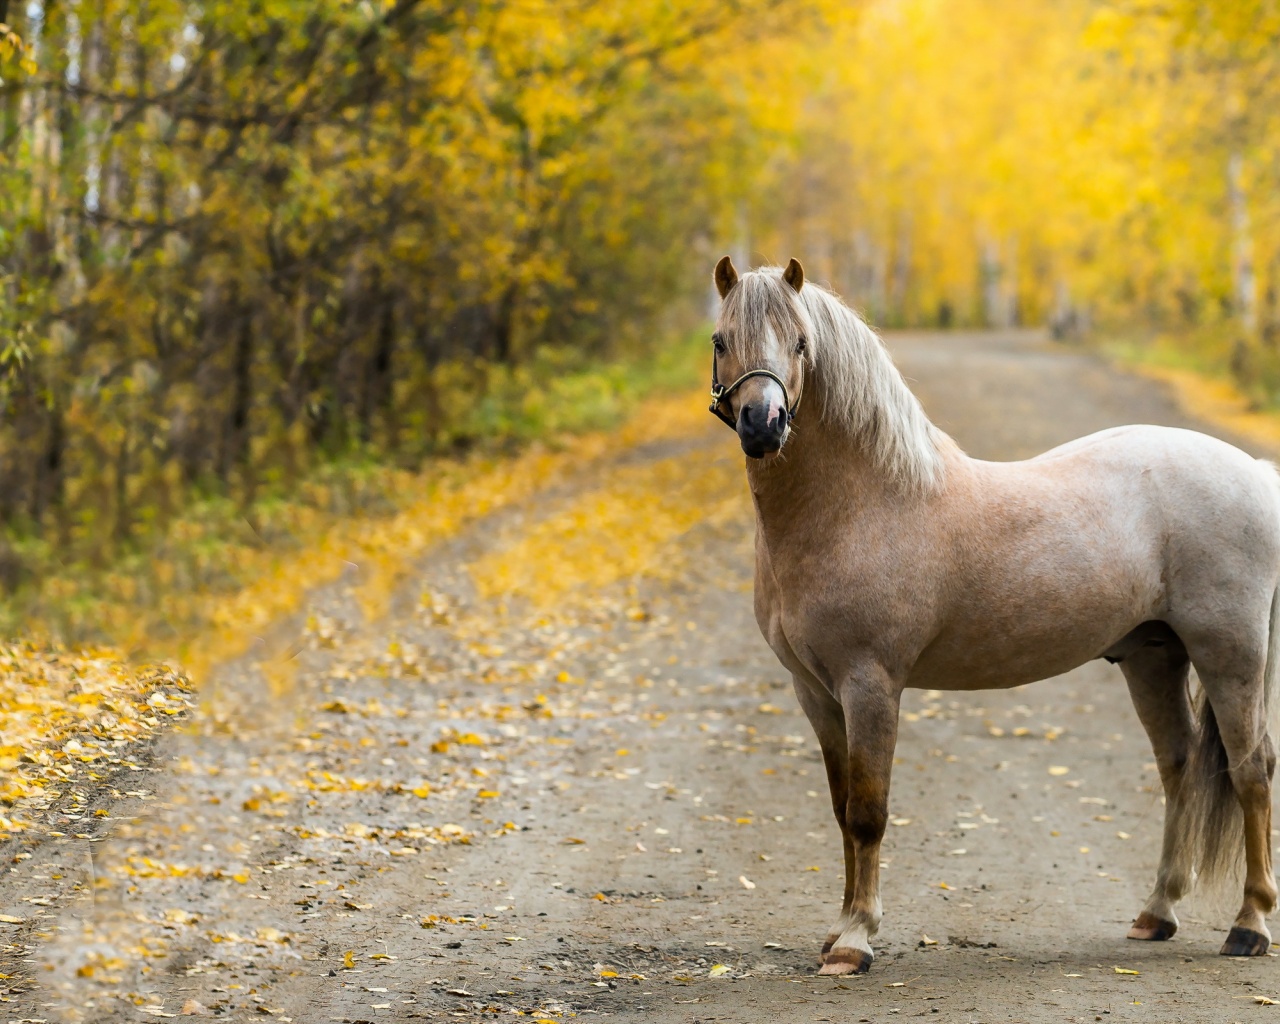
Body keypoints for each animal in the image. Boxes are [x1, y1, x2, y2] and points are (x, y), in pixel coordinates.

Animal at [711, 256, 1280, 977]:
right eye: (721, 339)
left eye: (802, 343)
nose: (764, 425)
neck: (863, 504)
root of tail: (1255, 472)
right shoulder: (813, 691)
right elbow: (841, 811)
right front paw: (837, 929)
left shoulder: (870, 685)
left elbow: (868, 811)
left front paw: (856, 941)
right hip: (1154, 656)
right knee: (1178, 764)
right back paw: (1156, 914)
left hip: (1229, 652)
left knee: (1251, 769)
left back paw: (1250, 925)